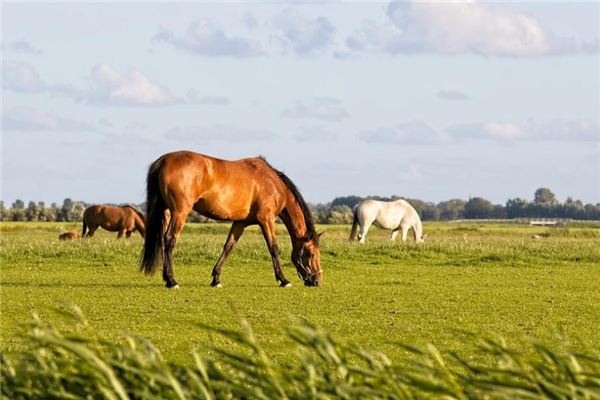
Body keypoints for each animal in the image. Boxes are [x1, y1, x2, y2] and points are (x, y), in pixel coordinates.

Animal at [139, 152, 324, 290]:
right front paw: (283, 280)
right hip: (180, 212)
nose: (317, 281)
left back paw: (167, 279)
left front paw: (216, 279)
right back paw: (172, 281)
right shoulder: (266, 220)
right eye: (311, 253)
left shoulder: (240, 223)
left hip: (166, 211)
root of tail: (164, 160)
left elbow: (228, 247)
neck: (272, 183)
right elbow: (273, 247)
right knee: (170, 239)